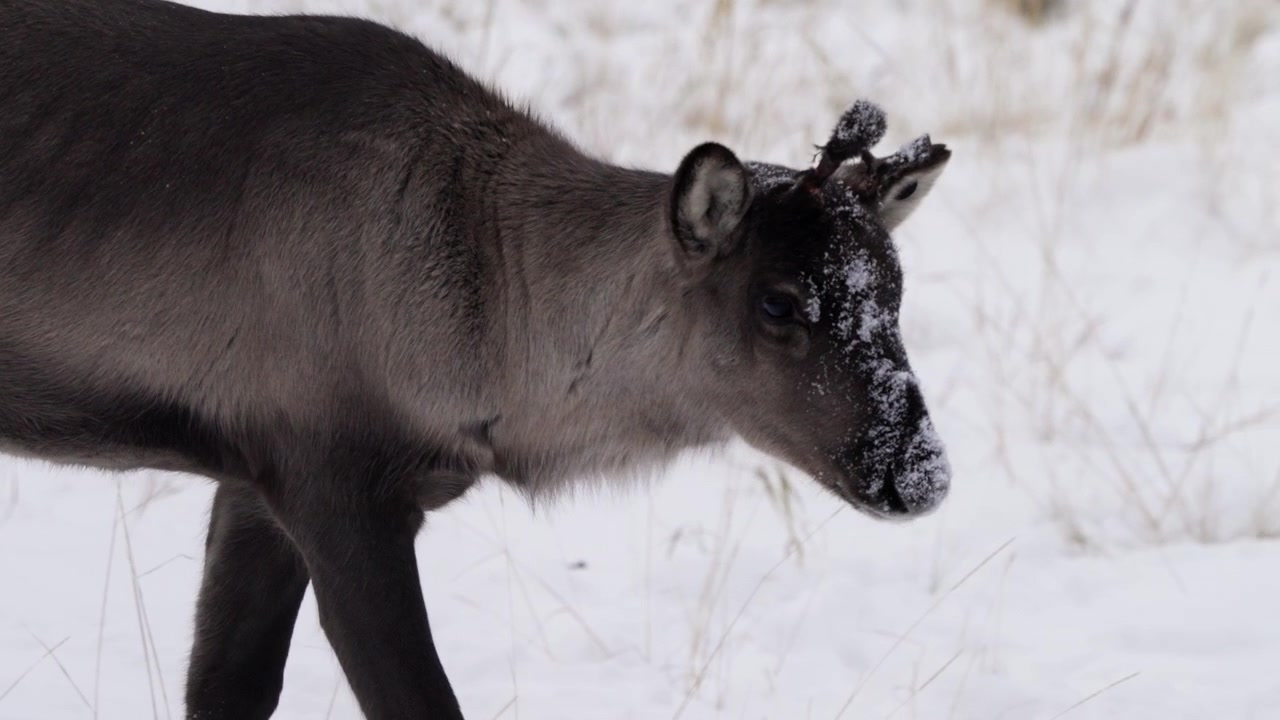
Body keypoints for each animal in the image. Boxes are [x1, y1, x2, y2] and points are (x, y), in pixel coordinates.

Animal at [0, 0, 953, 717]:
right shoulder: (330, 482)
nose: (921, 471)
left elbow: (226, 687)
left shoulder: (252, 477)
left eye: (897, 288)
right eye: (778, 302)